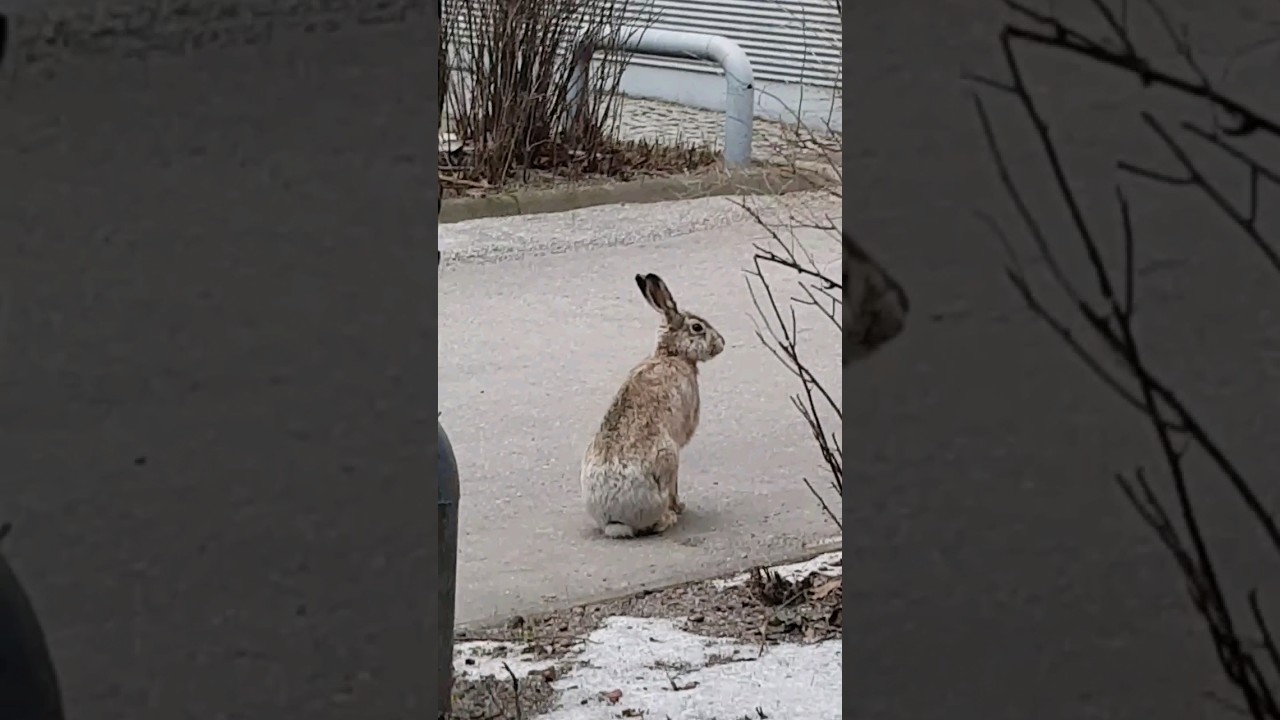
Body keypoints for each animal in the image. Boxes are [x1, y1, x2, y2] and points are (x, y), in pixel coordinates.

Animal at [581, 273, 726, 539]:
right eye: (697, 327)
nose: (721, 343)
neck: (672, 354)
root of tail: (615, 519)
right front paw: (681, 507)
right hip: (669, 458)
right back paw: (671, 516)